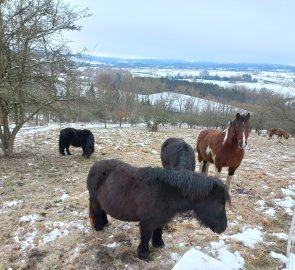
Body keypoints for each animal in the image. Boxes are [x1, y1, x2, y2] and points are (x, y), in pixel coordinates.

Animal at [86, 158, 230, 260]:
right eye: (220, 204)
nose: (223, 228)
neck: (164, 193)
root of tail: (95, 166)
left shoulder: (161, 218)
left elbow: (158, 231)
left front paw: (158, 243)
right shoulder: (147, 222)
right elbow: (145, 237)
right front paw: (144, 255)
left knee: (103, 211)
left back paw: (105, 223)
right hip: (95, 200)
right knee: (98, 212)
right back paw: (99, 228)